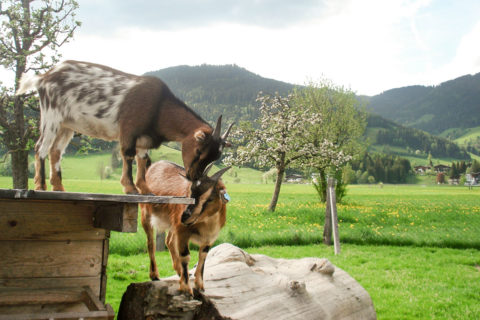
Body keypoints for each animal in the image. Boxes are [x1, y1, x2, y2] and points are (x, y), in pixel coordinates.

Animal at [17, 61, 235, 194]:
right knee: (41, 147)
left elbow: (143, 161)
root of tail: (44, 77)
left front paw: (146, 190)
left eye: (215, 157)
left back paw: (59, 187)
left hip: (66, 124)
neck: (159, 107)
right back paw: (41, 185)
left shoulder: (144, 139)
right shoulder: (129, 129)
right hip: (51, 115)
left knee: (55, 151)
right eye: (199, 151)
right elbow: (128, 155)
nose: (193, 176)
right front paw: (130, 188)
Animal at [139, 160, 231, 296]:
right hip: (146, 215)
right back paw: (154, 275)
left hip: (173, 225)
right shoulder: (182, 232)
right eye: (190, 193)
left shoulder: (208, 238)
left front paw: (200, 285)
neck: (206, 224)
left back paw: (179, 272)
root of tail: (155, 164)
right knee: (151, 243)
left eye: (210, 199)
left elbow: (203, 256)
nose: (184, 217)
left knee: (169, 241)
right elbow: (185, 256)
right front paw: (186, 288)